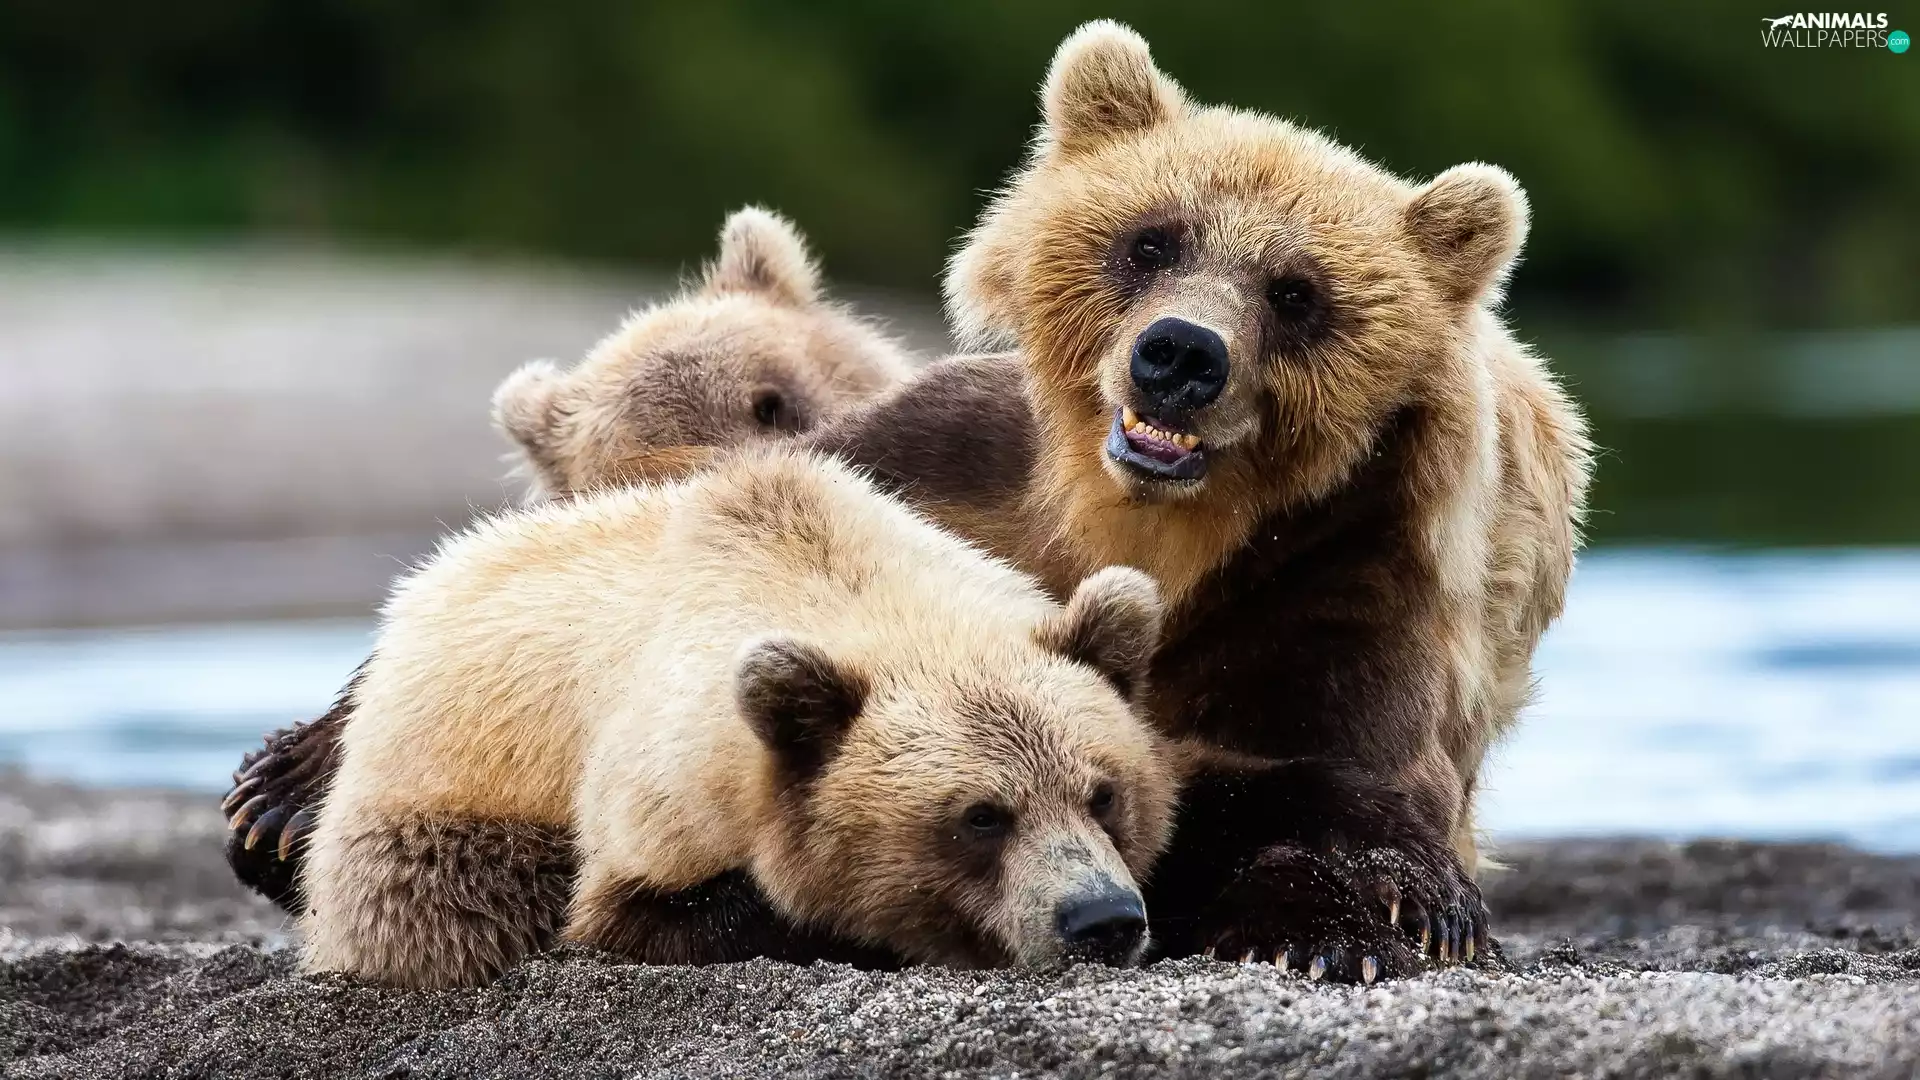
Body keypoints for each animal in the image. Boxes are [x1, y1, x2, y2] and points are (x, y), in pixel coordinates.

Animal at [298, 445, 1178, 988]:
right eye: (980, 816)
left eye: (1103, 793)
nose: (1101, 919)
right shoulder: (655, 795)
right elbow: (635, 916)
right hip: (430, 799)